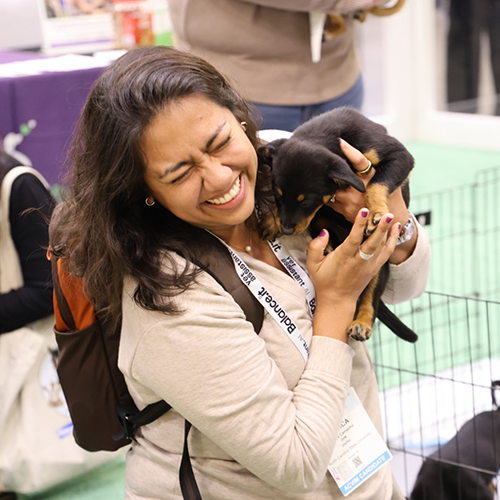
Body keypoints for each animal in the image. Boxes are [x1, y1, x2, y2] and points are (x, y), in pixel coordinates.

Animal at [258, 107, 414, 342]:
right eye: (277, 196)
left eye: (306, 201)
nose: (285, 229)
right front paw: (271, 219)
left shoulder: (398, 155)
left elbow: (375, 183)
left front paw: (376, 212)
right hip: (321, 220)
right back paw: (329, 247)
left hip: (379, 267)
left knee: (370, 299)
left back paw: (361, 324)